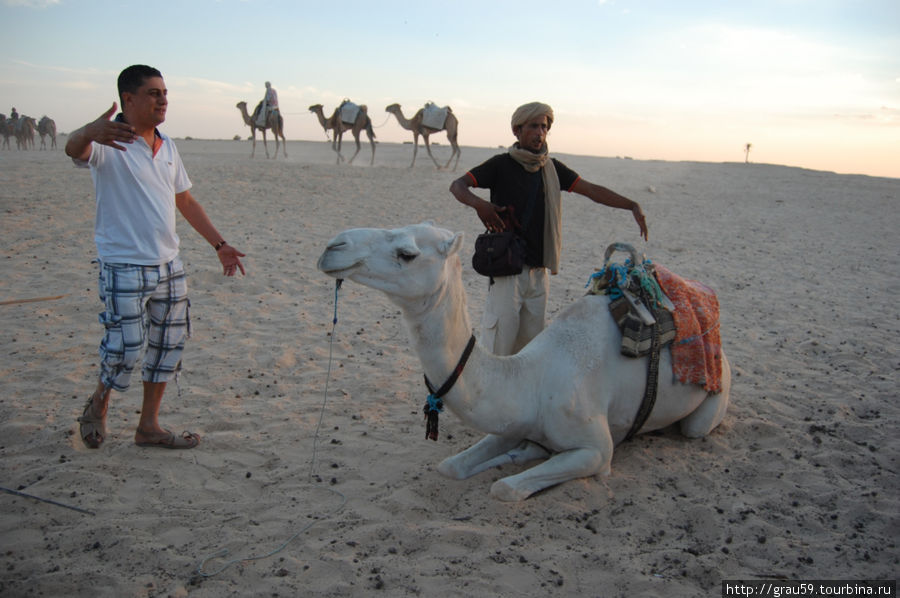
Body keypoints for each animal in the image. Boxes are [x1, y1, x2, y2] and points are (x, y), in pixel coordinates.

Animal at [318, 224, 732, 502]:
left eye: (407, 253)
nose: (332, 246)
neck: (531, 380)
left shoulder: (597, 450)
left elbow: (505, 489)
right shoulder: (512, 419)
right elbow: (451, 466)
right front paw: (520, 452)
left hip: (710, 403)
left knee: (695, 427)